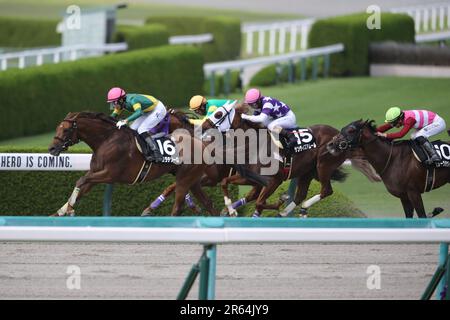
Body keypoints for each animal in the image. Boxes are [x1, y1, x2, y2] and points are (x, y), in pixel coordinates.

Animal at [48, 111, 219, 216]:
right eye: (57, 128)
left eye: (65, 130)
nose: (52, 148)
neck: (106, 140)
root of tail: (201, 144)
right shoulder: (95, 174)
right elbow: (81, 186)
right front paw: (58, 213)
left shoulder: (110, 175)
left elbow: (81, 180)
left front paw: (69, 210)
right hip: (193, 179)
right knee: (208, 203)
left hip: (184, 178)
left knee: (178, 207)